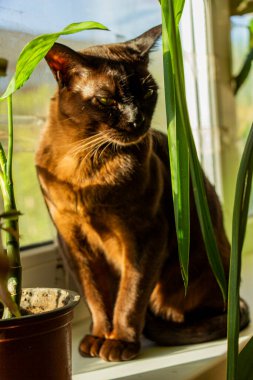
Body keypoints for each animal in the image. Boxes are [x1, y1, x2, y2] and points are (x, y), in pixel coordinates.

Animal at [35, 25, 249, 360]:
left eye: (148, 94)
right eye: (106, 100)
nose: (136, 120)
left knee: (206, 312)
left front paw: (119, 343)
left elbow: (129, 296)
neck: (85, 160)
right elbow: (96, 296)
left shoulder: (146, 234)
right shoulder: (73, 241)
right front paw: (98, 338)